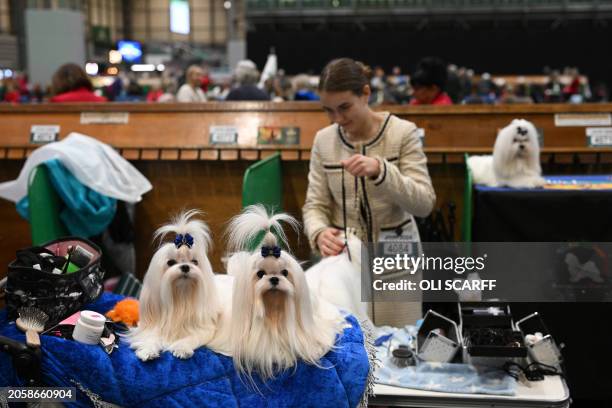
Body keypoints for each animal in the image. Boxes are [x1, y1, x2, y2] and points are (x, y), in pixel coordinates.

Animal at [129, 210, 222, 360]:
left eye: (195, 262)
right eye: (171, 262)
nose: (185, 267)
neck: (181, 296)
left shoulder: (203, 328)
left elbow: (191, 337)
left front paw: (181, 348)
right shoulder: (150, 326)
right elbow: (150, 336)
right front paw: (148, 350)